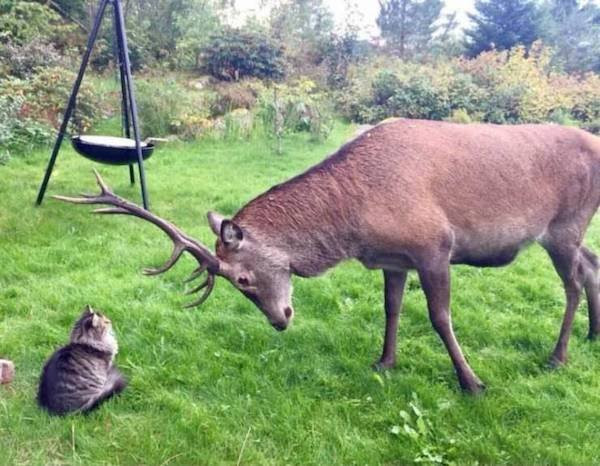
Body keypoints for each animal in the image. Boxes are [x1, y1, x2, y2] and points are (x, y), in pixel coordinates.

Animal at [55, 117, 600, 394]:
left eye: (243, 280)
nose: (280, 320)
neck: (355, 223)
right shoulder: (394, 258)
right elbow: (391, 308)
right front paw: (384, 362)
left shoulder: (433, 246)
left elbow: (440, 317)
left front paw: (471, 382)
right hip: (571, 228)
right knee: (591, 263)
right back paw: (593, 335)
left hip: (563, 224)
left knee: (572, 281)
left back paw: (558, 356)